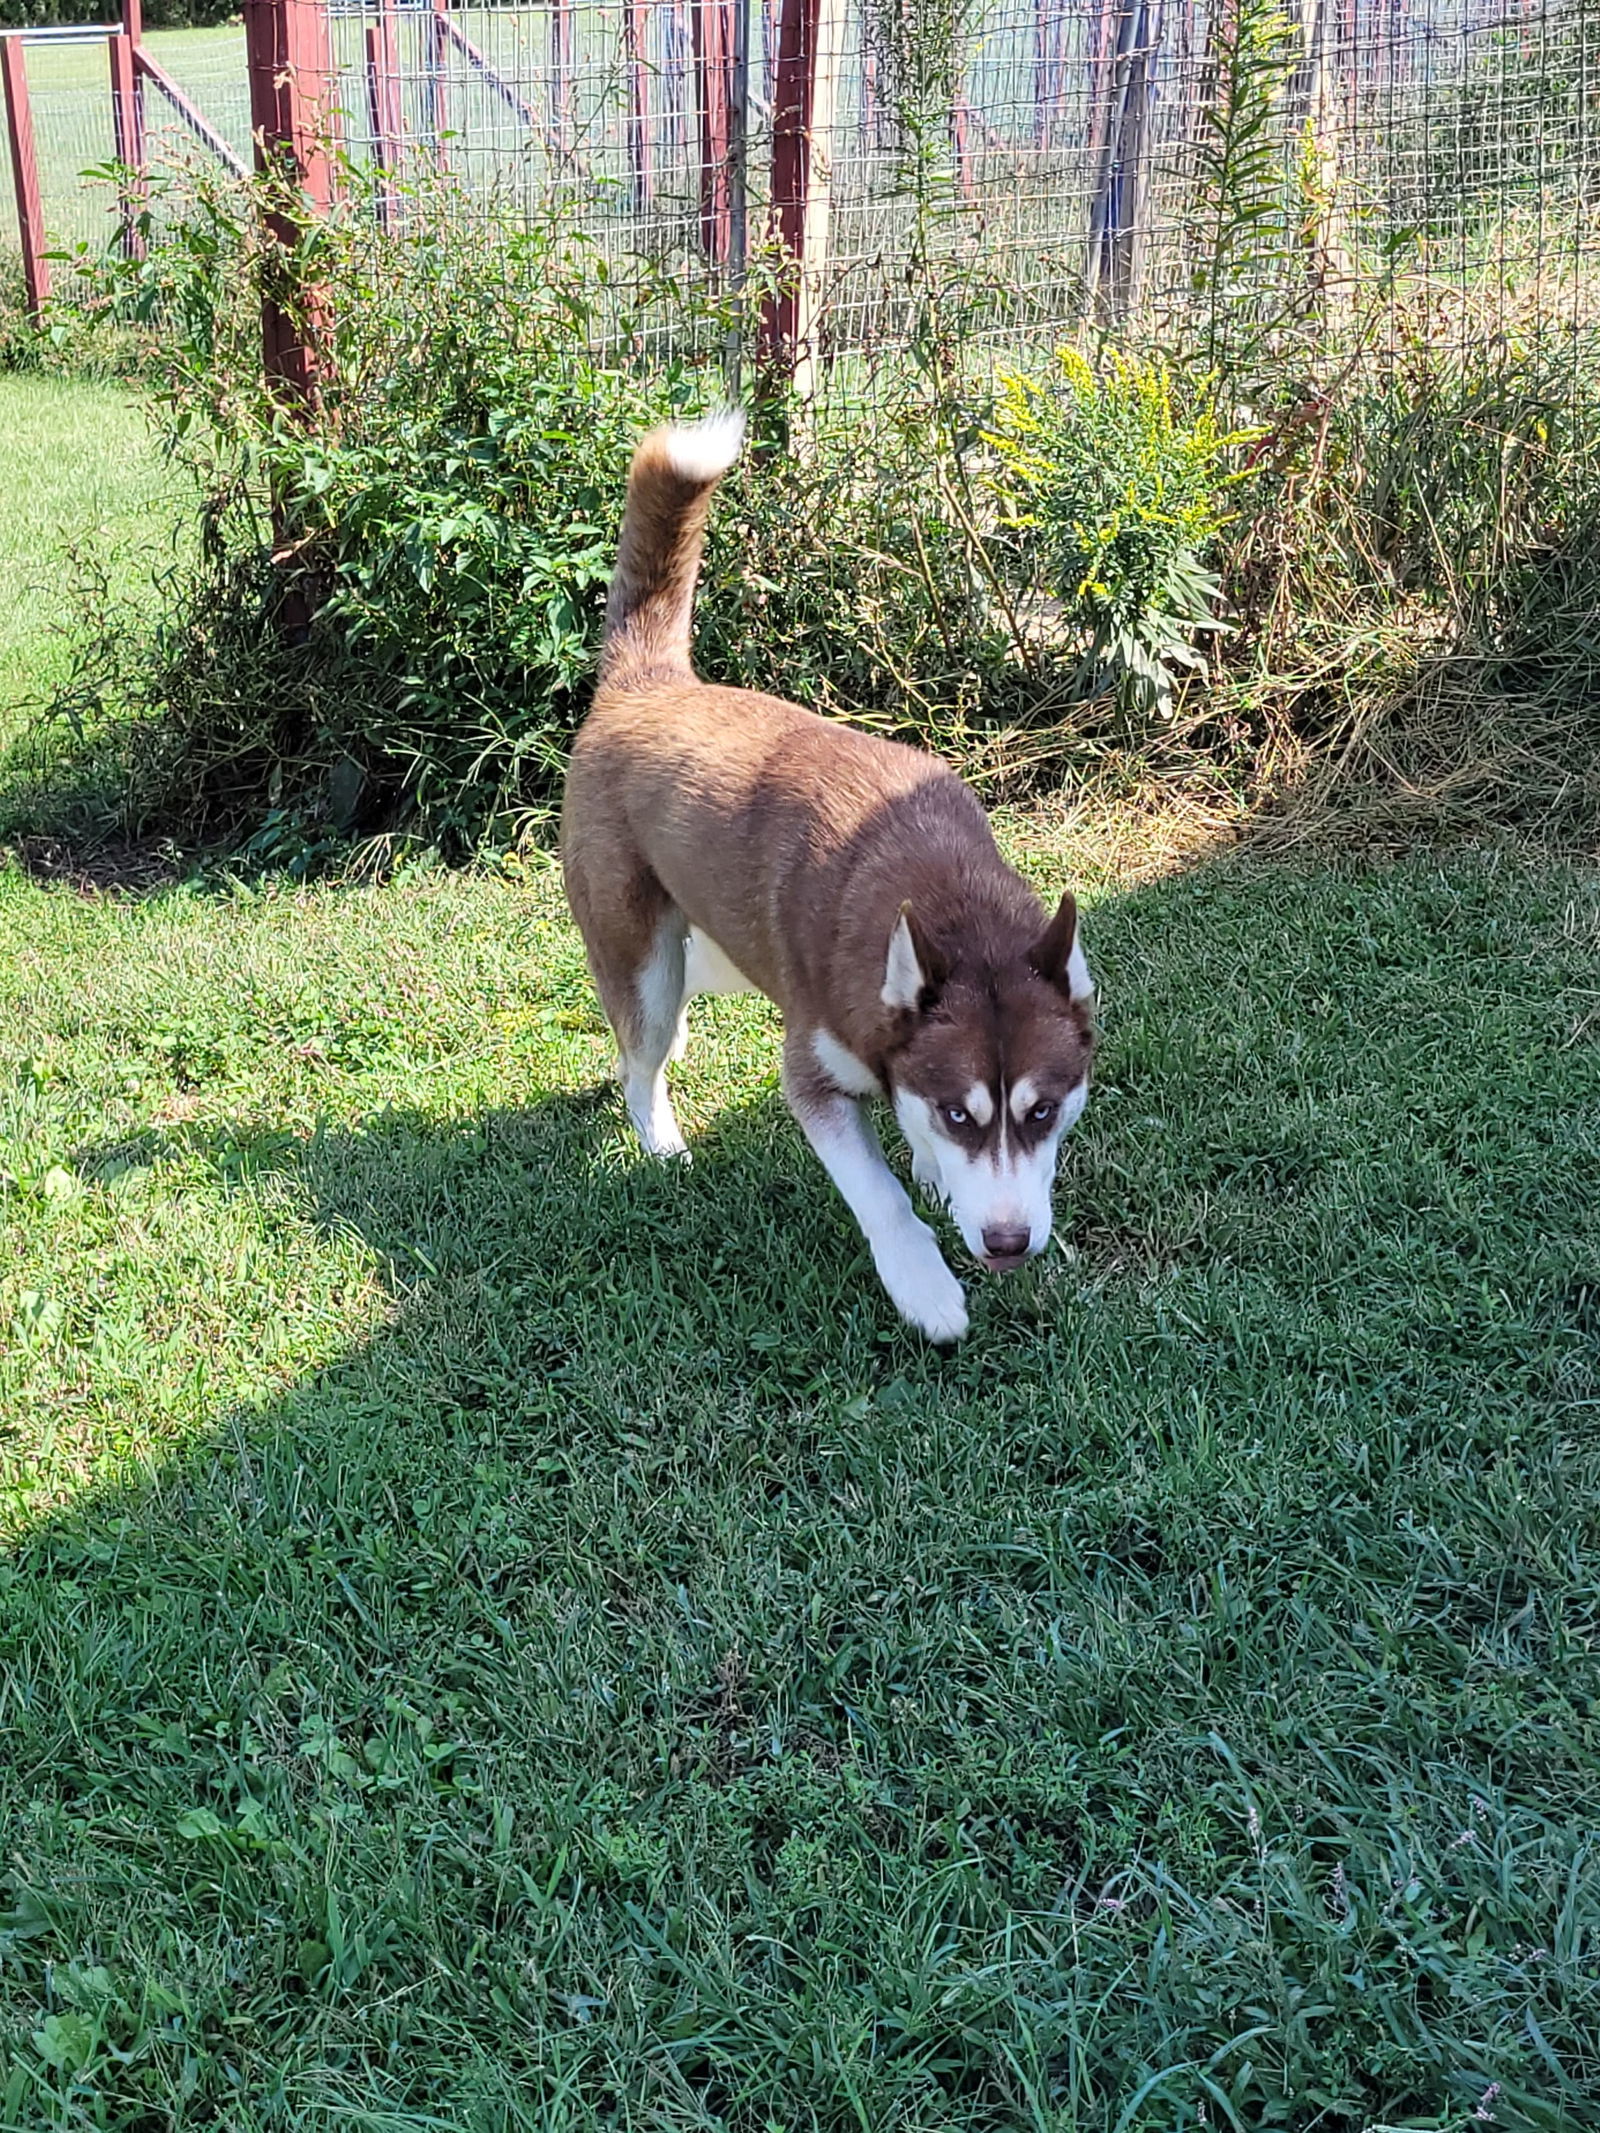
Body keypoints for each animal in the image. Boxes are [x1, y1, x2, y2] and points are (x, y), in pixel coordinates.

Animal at [558, 409, 1100, 1339]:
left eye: (1043, 1111)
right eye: (962, 1111)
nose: (1006, 1243)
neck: (945, 897)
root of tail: (647, 682)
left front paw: (935, 1176)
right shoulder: (813, 1074)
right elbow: (878, 1195)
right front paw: (923, 1282)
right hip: (639, 946)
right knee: (640, 1053)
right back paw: (660, 1136)